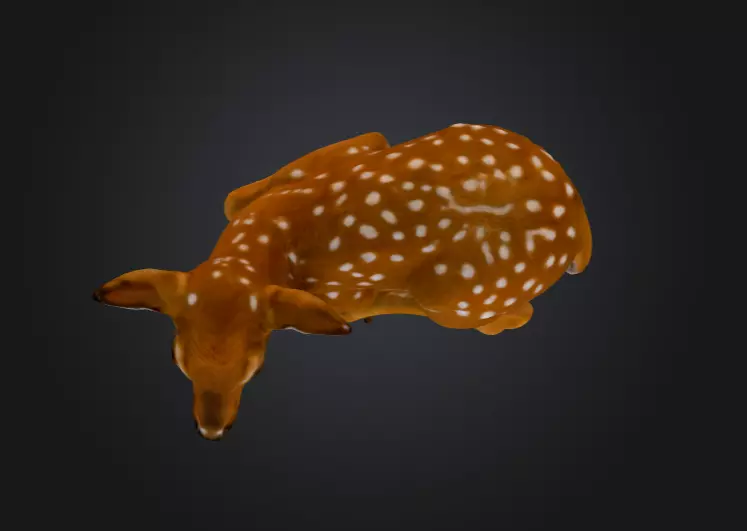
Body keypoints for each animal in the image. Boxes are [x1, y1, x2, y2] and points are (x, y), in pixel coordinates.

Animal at [93, 123, 593, 441]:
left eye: (256, 366)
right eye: (177, 358)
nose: (212, 428)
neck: (276, 241)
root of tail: (578, 223)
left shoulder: (341, 293)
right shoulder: (361, 145)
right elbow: (231, 197)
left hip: (459, 295)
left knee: (510, 314)